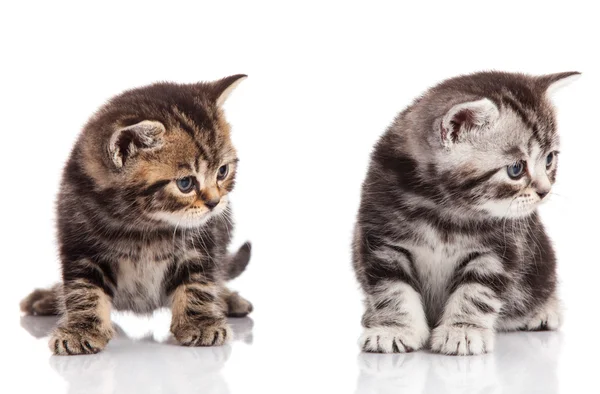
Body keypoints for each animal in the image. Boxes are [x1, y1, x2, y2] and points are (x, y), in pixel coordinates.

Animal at [19, 74, 252, 354]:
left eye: (222, 171)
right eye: (185, 183)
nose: (215, 202)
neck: (144, 225)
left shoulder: (204, 241)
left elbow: (199, 281)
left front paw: (201, 323)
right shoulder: (78, 239)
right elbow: (83, 288)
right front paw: (80, 329)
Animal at [354, 70, 580, 354]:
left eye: (549, 159)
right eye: (516, 169)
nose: (545, 190)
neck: (445, 209)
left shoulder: (498, 251)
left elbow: (475, 293)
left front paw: (462, 331)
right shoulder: (382, 242)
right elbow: (392, 290)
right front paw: (393, 328)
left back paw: (544, 310)